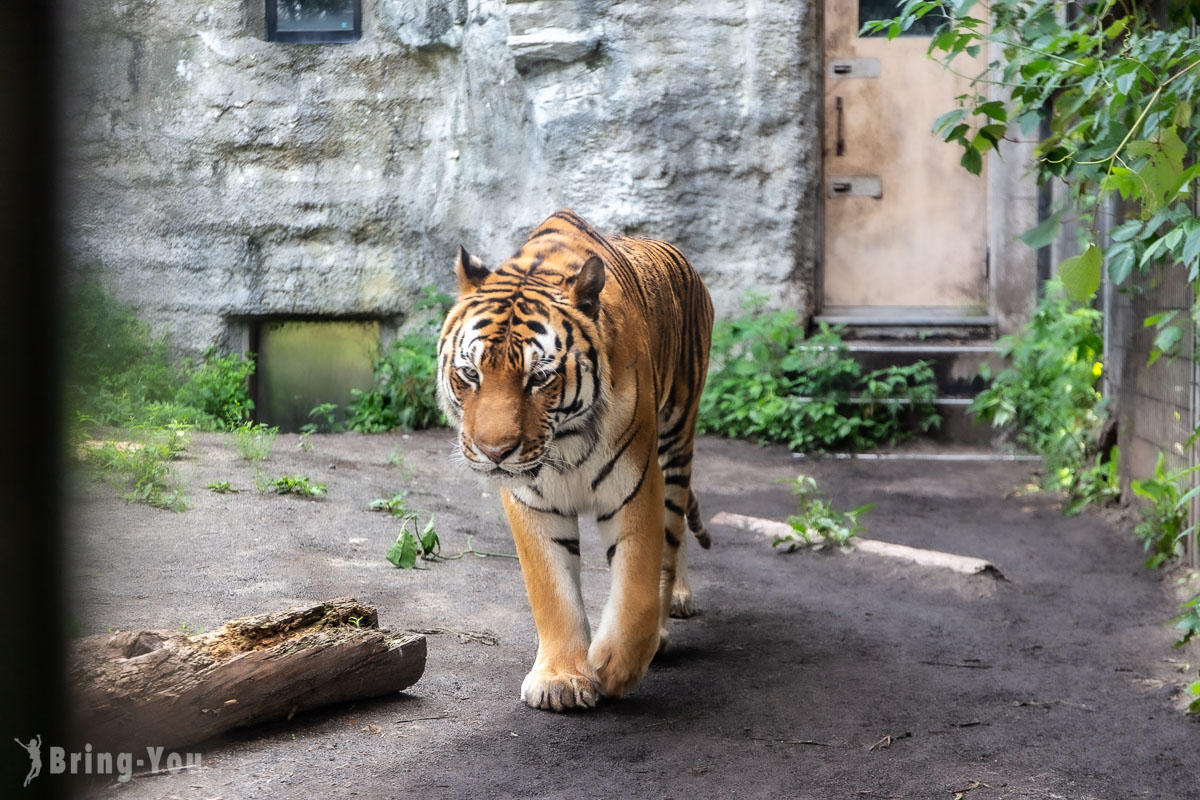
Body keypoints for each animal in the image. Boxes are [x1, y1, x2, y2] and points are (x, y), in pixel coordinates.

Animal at [439, 209, 710, 710]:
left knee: (673, 536)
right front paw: (561, 679)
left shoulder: (636, 485)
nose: (493, 453)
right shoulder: (532, 500)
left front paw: (616, 667)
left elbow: (638, 585)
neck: (564, 444)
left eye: (539, 377)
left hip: (677, 438)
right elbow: (551, 590)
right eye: (470, 373)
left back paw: (667, 622)